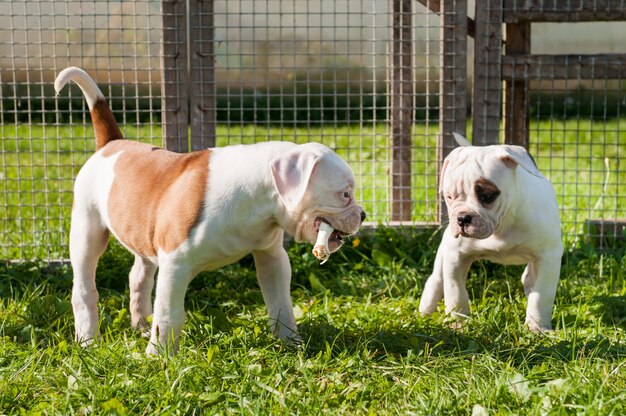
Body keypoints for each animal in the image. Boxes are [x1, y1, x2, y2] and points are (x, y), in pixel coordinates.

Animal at [56, 66, 366, 352]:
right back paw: (88, 340)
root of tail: (111, 143)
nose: (363, 215)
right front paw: (160, 356)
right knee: (84, 289)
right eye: (345, 194)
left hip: (143, 230)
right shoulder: (175, 263)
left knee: (139, 275)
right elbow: (169, 314)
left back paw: (141, 325)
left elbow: (281, 304)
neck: (254, 194)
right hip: (87, 232)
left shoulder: (271, 257)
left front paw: (292, 344)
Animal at [420, 133, 560, 332]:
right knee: (437, 278)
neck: (503, 225)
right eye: (449, 197)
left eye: (486, 196)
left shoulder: (548, 257)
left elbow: (541, 295)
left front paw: (537, 327)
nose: (462, 218)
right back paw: (426, 308)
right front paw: (459, 323)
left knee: (529, 279)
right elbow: (456, 291)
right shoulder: (455, 256)